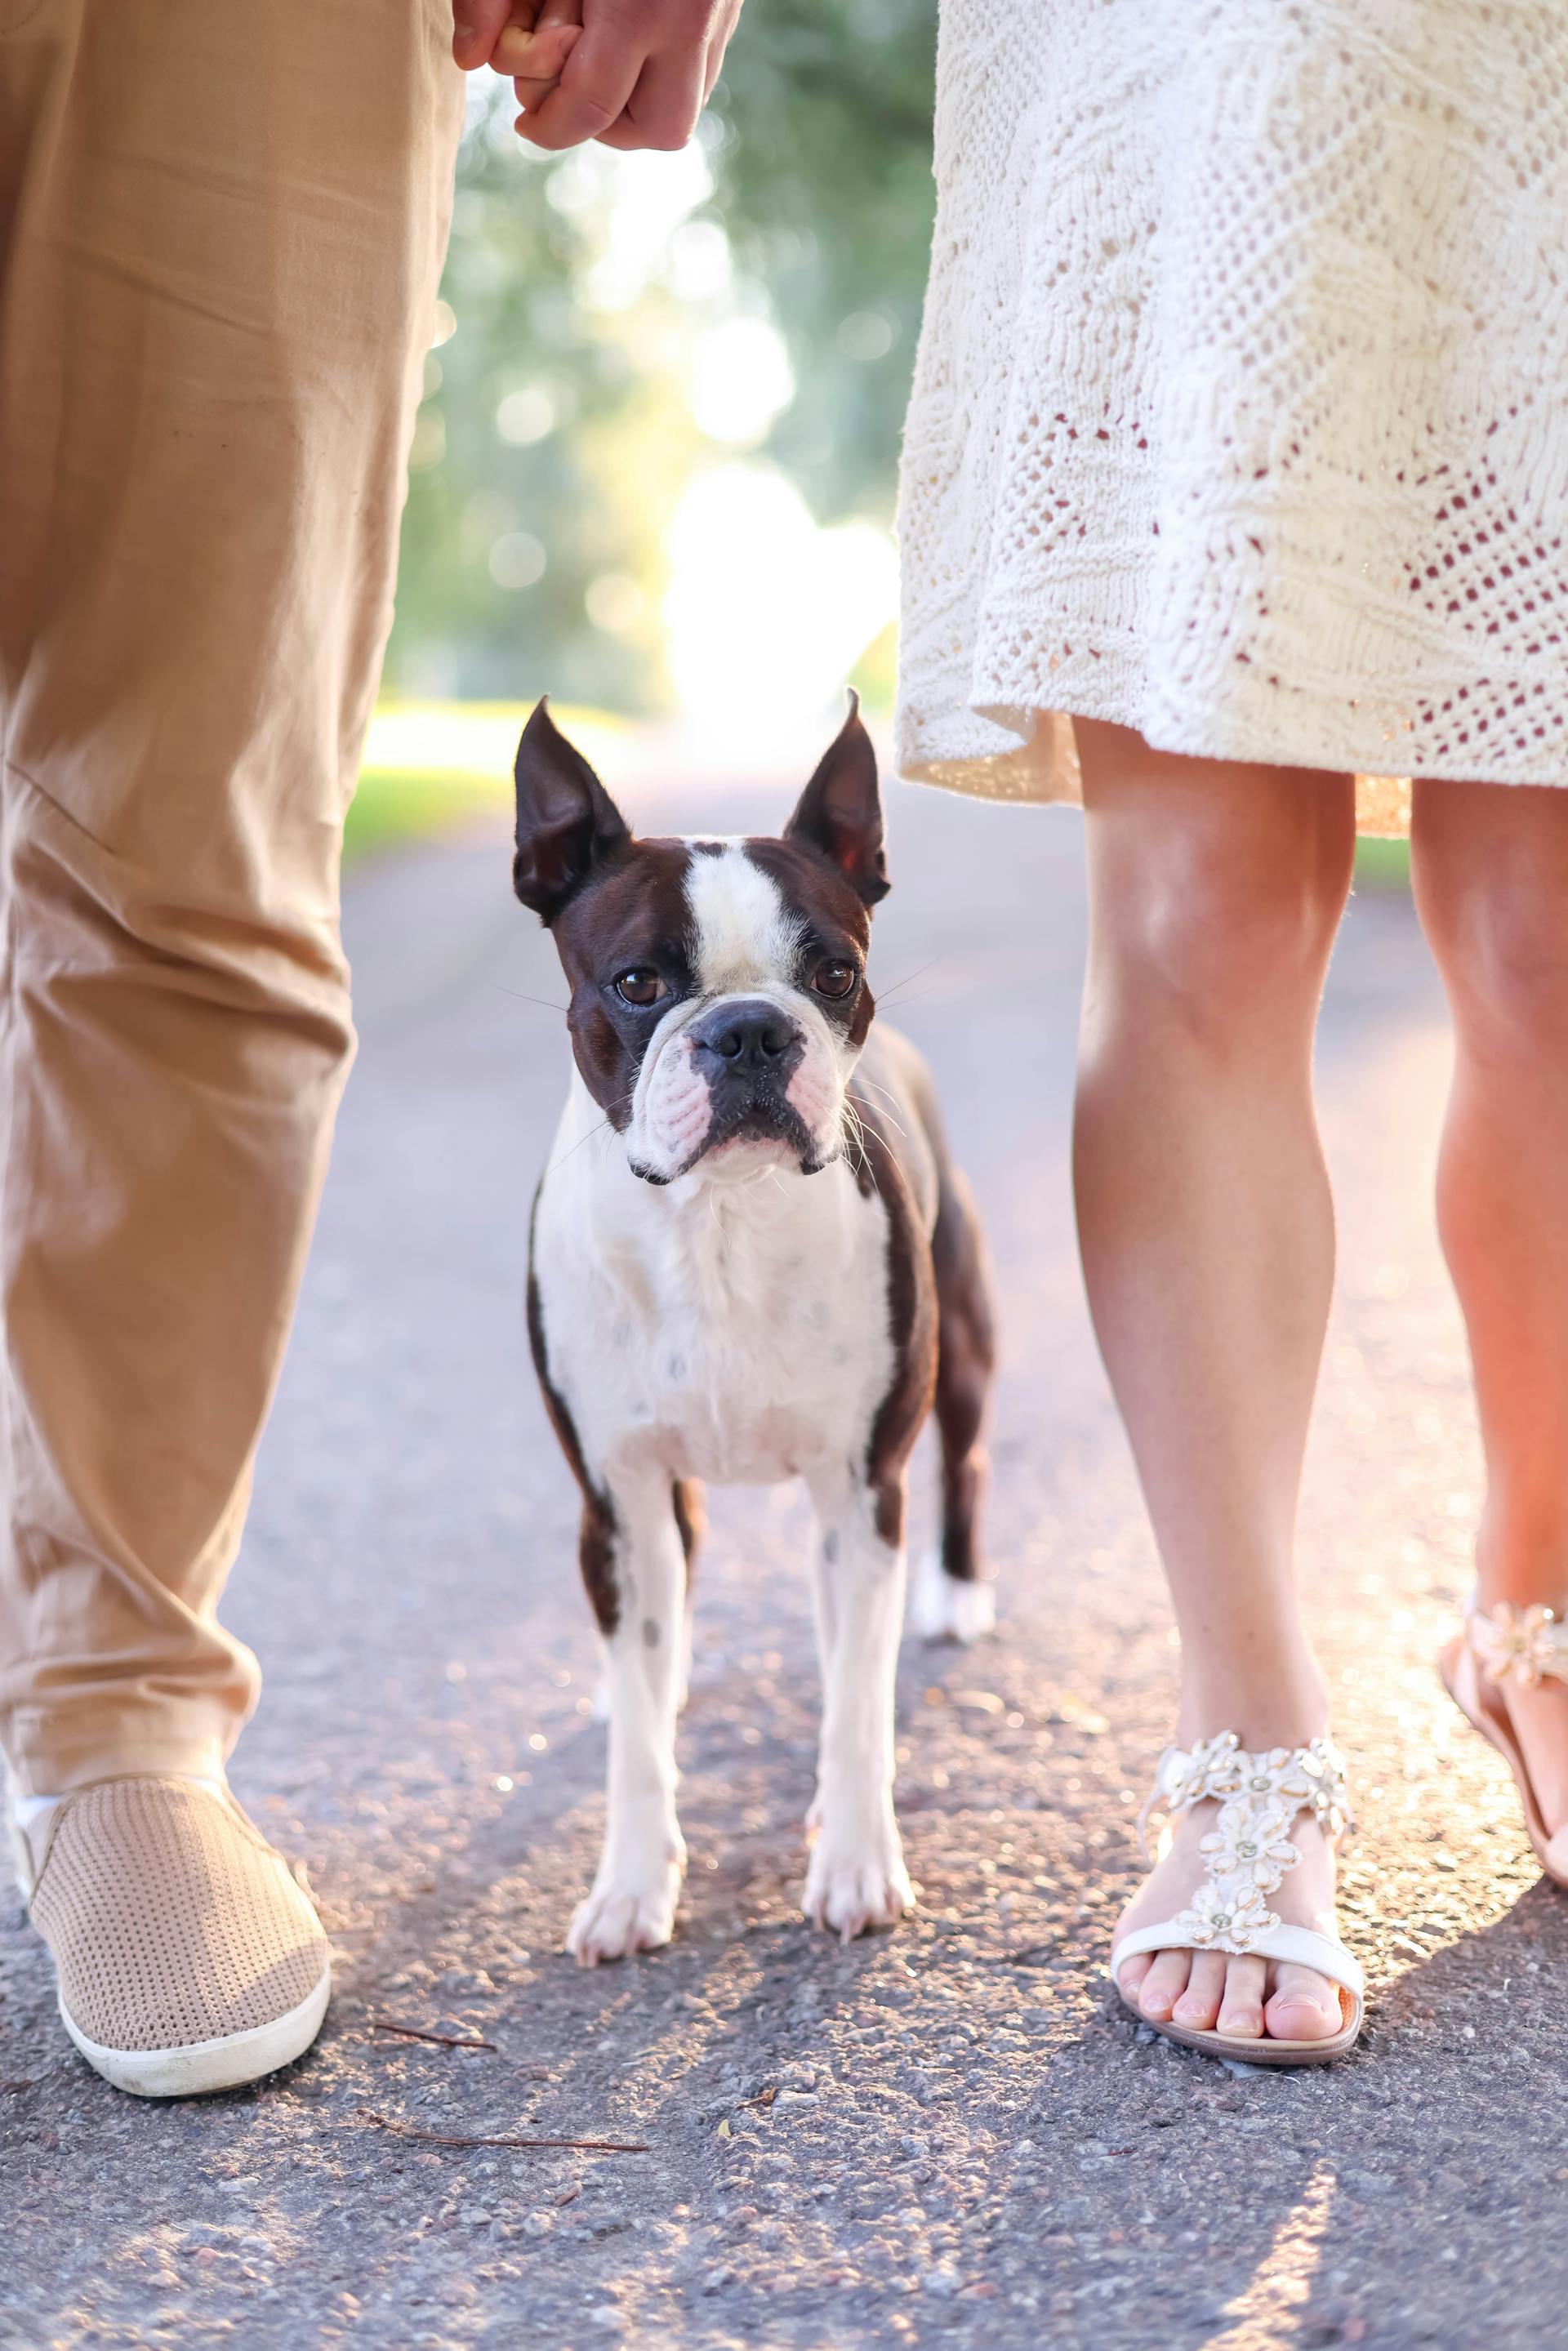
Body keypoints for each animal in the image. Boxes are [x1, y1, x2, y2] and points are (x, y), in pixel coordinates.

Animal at [522, 691, 1001, 1965]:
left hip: (960, 1354)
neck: (717, 1222)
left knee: (959, 1466)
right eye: (638, 982)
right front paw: (632, 1883)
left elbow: (854, 1702)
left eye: (832, 971)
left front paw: (856, 1860)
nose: (747, 1029)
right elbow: (640, 1739)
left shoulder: (861, 1483)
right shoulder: (615, 1490)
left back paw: (955, 1594)